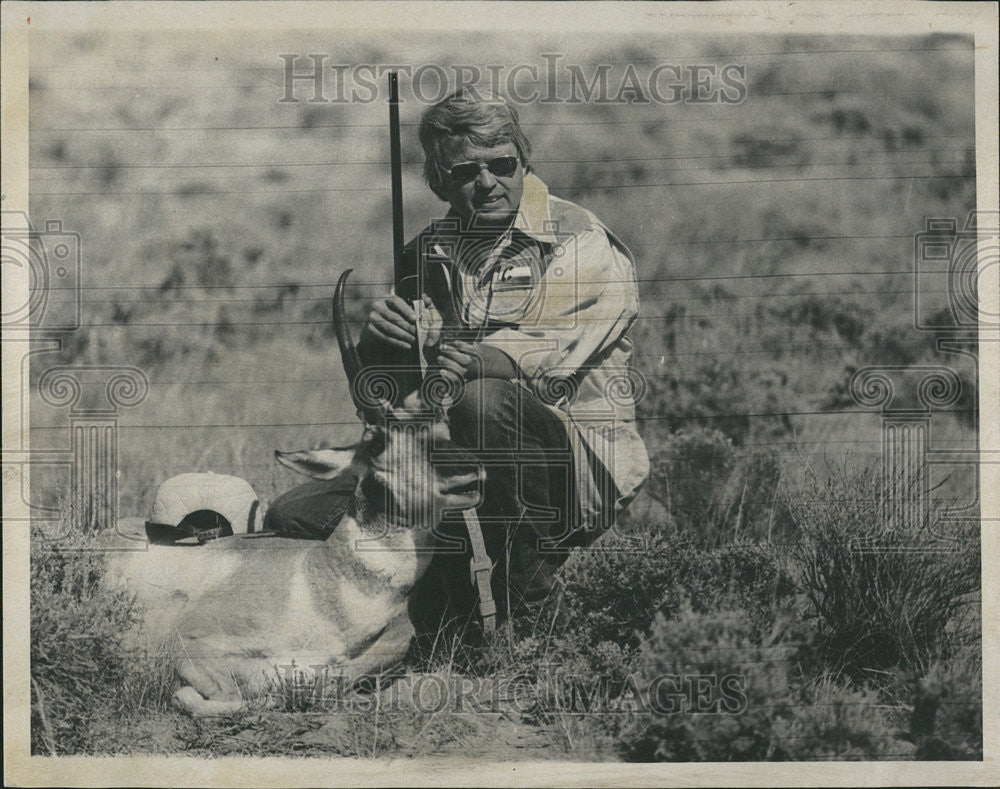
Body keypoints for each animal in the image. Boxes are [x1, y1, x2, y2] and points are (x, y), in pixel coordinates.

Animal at [101, 270, 480, 716]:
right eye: (376, 443)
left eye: (445, 426)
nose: (469, 474)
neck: (320, 580)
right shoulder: (192, 648)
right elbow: (231, 696)